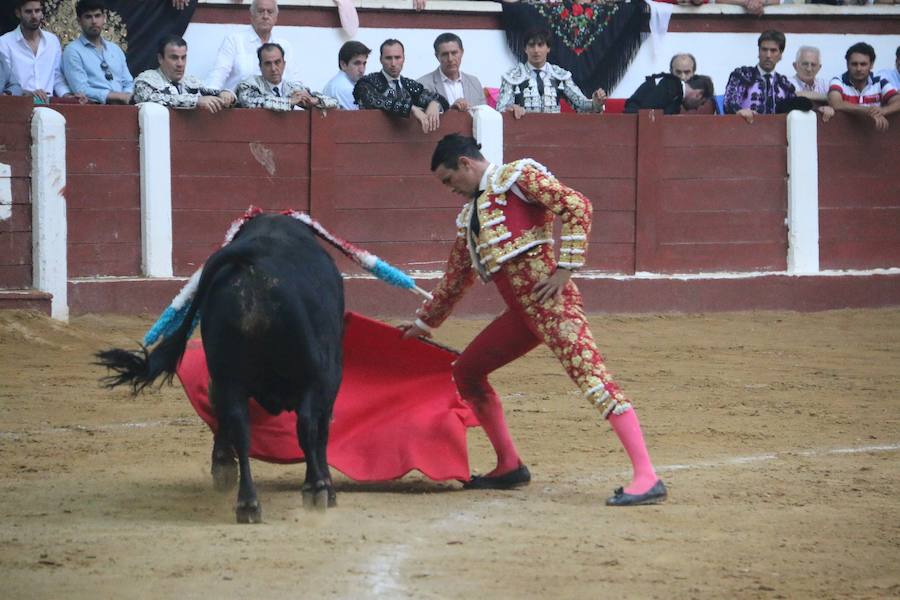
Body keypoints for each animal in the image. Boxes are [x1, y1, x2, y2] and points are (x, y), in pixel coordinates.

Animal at [97, 213, 344, 524]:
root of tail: (253, 261)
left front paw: (223, 467)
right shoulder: (328, 378)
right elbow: (320, 431)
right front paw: (327, 489)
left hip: (228, 376)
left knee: (238, 426)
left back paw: (247, 502)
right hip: (313, 374)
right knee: (307, 424)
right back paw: (314, 490)